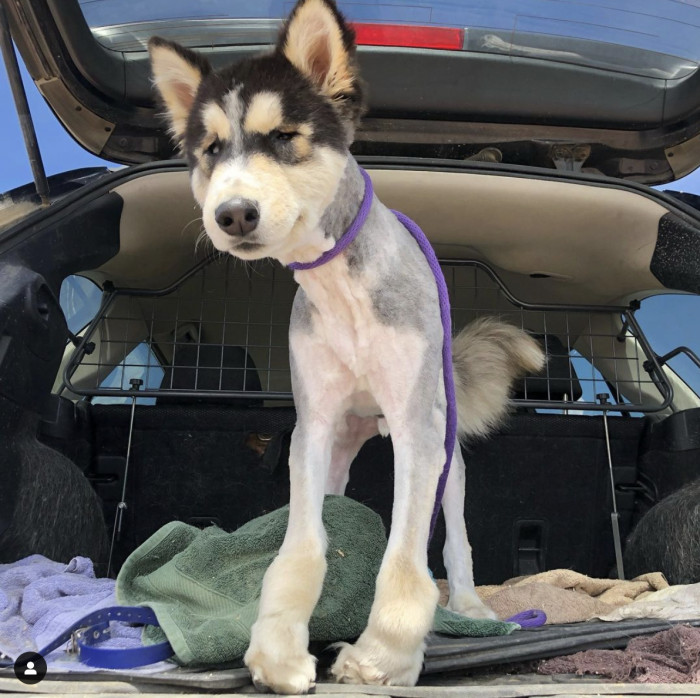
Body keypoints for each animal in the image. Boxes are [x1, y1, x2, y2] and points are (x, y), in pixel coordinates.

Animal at [150, 0, 544, 684]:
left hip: (445, 449)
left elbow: (408, 559)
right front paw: (278, 646)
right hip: (339, 448)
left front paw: (383, 654)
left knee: (456, 541)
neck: (340, 289)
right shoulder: (311, 430)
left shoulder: (417, 432)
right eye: (211, 151)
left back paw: (470, 606)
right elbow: (302, 547)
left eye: (285, 137)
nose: (233, 214)